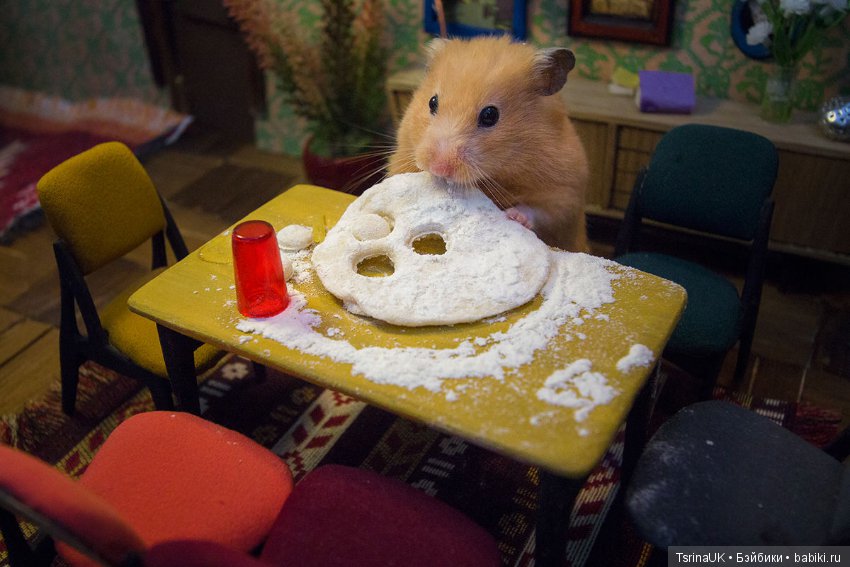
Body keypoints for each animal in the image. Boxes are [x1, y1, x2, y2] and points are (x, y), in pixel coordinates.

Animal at [388, 36, 590, 252]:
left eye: (490, 115)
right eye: (432, 102)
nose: (438, 168)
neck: (496, 175)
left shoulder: (565, 191)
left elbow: (544, 211)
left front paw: (513, 216)